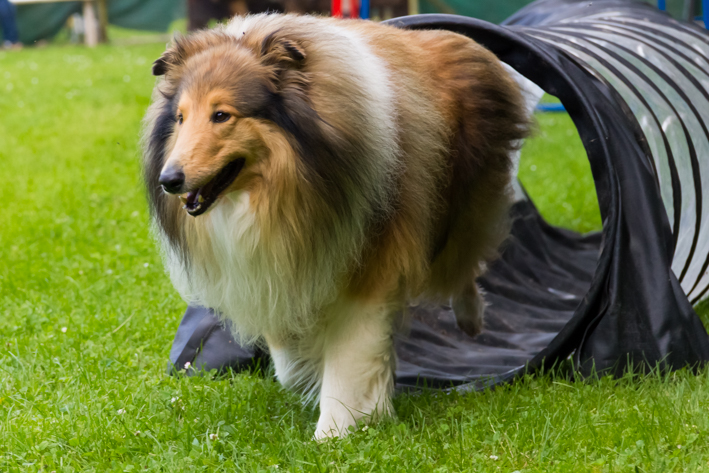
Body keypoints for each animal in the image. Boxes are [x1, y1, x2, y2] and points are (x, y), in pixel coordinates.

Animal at [142, 14, 524, 438]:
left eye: (221, 115)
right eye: (180, 118)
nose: (168, 180)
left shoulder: (371, 262)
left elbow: (352, 354)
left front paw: (338, 429)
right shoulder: (278, 263)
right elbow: (286, 353)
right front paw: (306, 372)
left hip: (460, 210)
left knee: (465, 264)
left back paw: (471, 319)